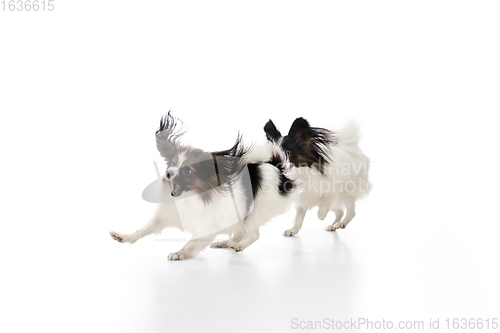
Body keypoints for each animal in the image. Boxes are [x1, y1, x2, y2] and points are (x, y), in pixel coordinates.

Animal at [109, 112, 296, 260]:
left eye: (187, 170)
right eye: (172, 163)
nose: (168, 173)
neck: (190, 196)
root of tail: (274, 165)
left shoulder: (206, 227)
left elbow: (191, 243)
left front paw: (180, 253)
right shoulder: (164, 217)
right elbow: (142, 230)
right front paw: (123, 237)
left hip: (255, 211)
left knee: (254, 234)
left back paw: (238, 245)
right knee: (240, 232)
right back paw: (227, 243)